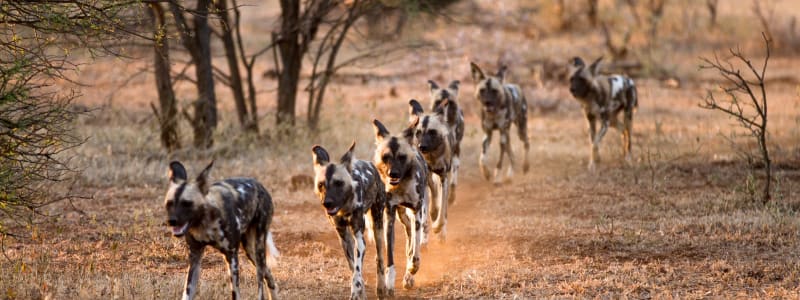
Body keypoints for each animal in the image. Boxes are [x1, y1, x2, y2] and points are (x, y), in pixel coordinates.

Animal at [162, 161, 278, 300]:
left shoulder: (232, 256)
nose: (171, 221)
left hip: (258, 248)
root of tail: (259, 185)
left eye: (187, 203)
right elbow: (187, 292)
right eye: (169, 203)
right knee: (269, 275)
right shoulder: (195, 256)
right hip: (250, 251)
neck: (205, 222)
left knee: (261, 283)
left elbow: (236, 294)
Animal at [310, 142, 394, 298]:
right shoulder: (344, 238)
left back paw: (381, 288)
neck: (344, 207)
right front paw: (360, 292)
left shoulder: (359, 238)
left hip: (378, 225)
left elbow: (357, 269)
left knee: (379, 258)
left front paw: (355, 292)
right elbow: (353, 268)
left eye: (339, 183)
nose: (327, 203)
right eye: (321, 185)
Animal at [370, 118, 428, 290]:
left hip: (416, 214)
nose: (393, 173)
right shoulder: (389, 216)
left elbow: (415, 253)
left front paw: (412, 268)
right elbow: (390, 255)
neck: (401, 185)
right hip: (401, 215)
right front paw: (389, 280)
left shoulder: (417, 212)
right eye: (385, 157)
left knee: (414, 239)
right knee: (408, 231)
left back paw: (409, 274)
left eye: (402, 157)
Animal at [410, 99, 454, 243]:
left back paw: (441, 233)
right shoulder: (425, 179)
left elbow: (442, 210)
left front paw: (438, 226)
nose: (421, 147)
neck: (432, 157)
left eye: (432, 132)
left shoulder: (444, 178)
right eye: (418, 133)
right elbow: (427, 211)